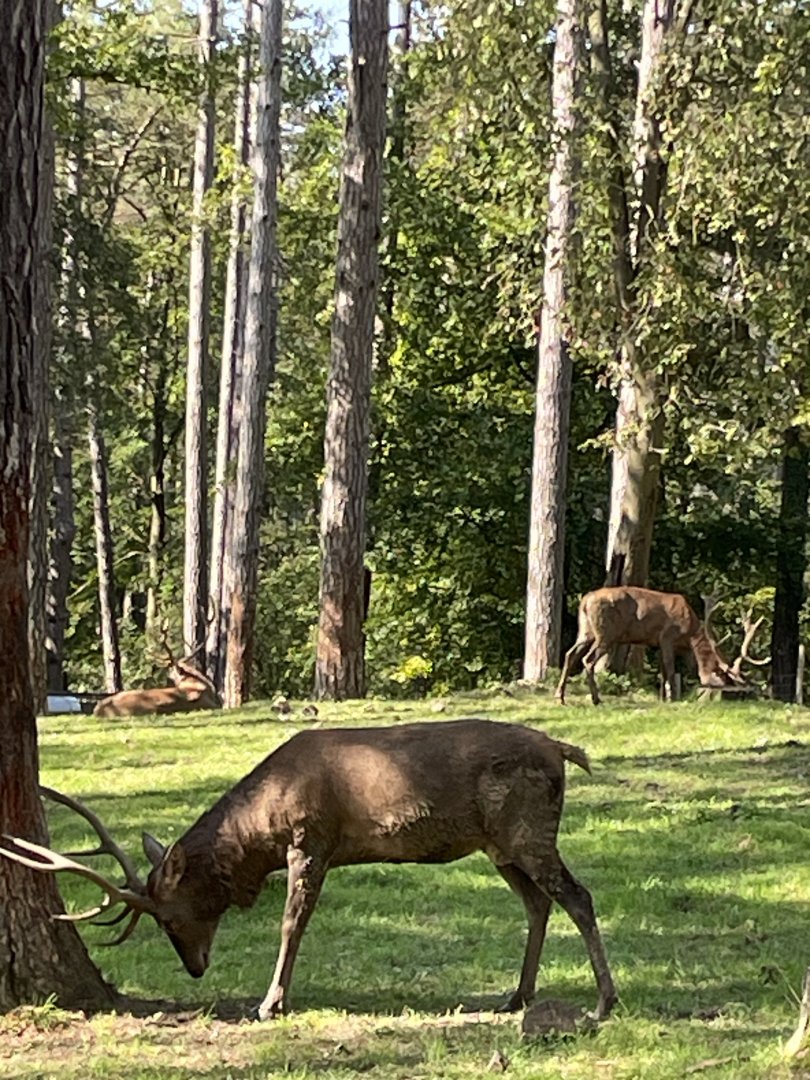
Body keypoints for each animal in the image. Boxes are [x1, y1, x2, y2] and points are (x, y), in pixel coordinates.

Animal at [0, 719, 617, 1022]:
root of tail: (563, 751)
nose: (196, 969)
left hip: (527, 828)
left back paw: (603, 1001)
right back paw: (517, 996)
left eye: (168, 919)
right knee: (539, 902)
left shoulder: (309, 839)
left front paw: (270, 1002)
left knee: (579, 896)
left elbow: (291, 925)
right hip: (499, 844)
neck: (260, 835)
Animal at [556, 585, 756, 705]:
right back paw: (596, 699)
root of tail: (585, 600)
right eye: (724, 678)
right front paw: (673, 698)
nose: (739, 694)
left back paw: (560, 696)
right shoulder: (667, 637)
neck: (689, 636)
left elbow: (664, 671)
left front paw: (664, 697)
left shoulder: (659, 643)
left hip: (586, 630)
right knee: (588, 659)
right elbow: (670, 667)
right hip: (606, 632)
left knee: (569, 654)